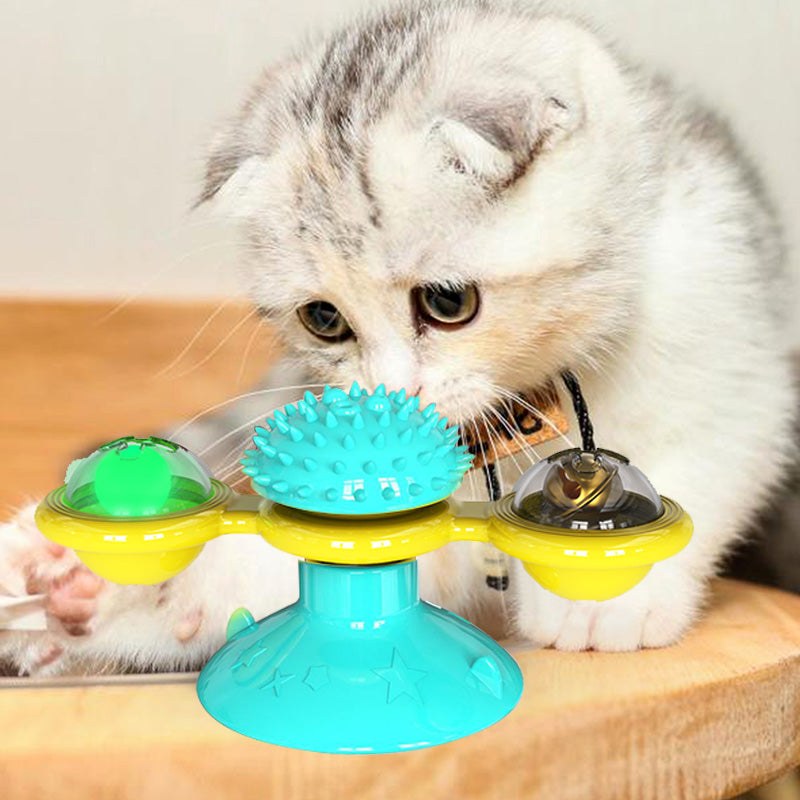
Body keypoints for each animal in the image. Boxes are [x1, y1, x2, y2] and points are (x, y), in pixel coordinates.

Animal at [3, 0, 796, 676]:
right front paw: (102, 579)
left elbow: (700, 454)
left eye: (448, 302)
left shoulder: (733, 339)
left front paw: (604, 596)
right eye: (324, 319)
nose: (393, 397)